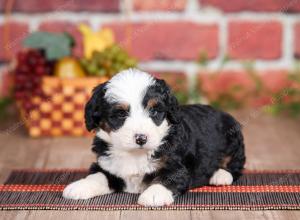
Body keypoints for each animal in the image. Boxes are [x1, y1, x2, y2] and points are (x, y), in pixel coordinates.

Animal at [63, 69, 246, 206]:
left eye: (154, 111)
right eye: (121, 114)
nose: (141, 138)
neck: (135, 154)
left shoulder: (177, 166)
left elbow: (166, 178)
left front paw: (153, 194)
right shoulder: (107, 164)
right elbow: (98, 175)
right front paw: (79, 186)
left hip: (233, 139)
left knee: (235, 164)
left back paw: (220, 175)